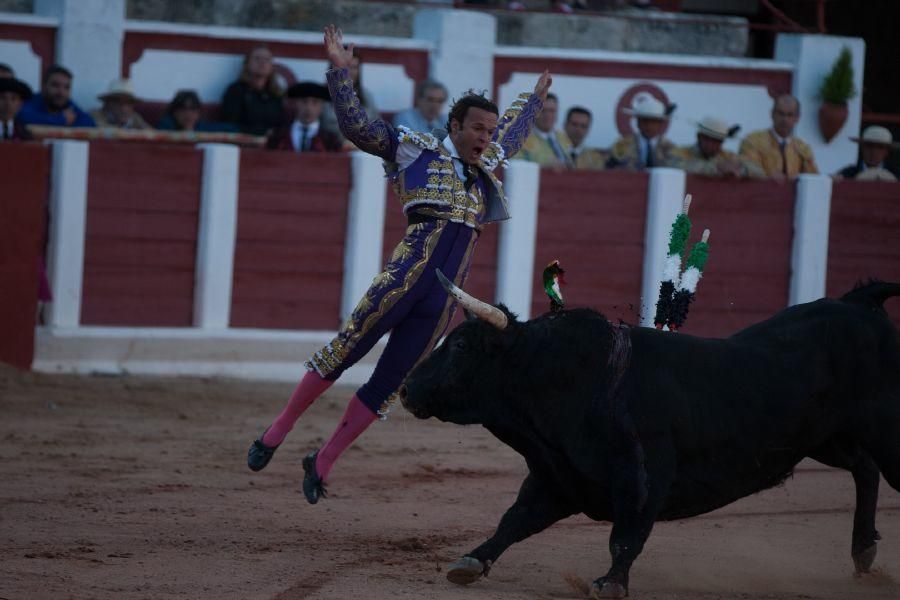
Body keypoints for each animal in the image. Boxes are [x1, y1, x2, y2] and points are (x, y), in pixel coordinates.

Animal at [400, 282, 900, 600]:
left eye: (460, 346)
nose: (405, 390)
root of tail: (857, 304)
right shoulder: (557, 479)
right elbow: (514, 521)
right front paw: (469, 563)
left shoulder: (641, 476)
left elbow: (626, 535)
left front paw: (610, 584)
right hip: (827, 439)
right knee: (864, 468)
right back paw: (863, 551)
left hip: (880, 429)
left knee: (877, 468)